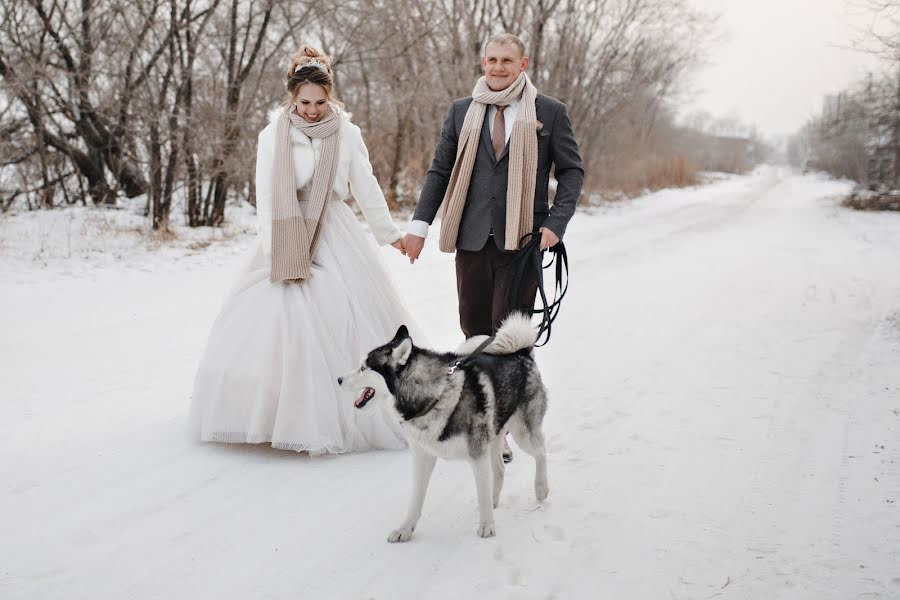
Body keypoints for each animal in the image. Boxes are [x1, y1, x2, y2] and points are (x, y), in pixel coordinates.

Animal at [338, 314, 548, 540]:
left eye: (363, 368)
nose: (338, 379)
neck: (434, 397)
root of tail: (521, 353)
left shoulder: (477, 456)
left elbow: (481, 492)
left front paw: (487, 526)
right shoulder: (423, 458)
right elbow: (416, 498)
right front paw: (405, 529)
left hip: (522, 433)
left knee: (541, 451)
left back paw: (541, 488)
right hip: (494, 433)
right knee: (500, 468)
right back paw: (494, 500)